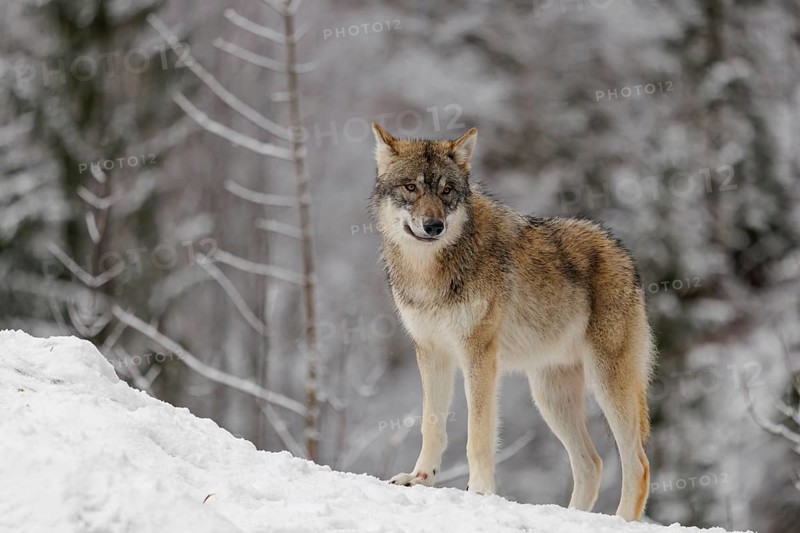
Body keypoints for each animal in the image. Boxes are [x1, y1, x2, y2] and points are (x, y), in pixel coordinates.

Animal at [369, 124, 654, 521]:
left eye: (446, 190)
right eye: (411, 187)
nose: (434, 225)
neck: (429, 271)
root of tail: (622, 251)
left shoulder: (479, 356)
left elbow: (478, 433)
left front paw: (479, 491)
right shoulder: (431, 353)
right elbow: (432, 425)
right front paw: (421, 478)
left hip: (607, 384)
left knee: (637, 465)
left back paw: (621, 520)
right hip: (549, 395)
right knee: (592, 464)